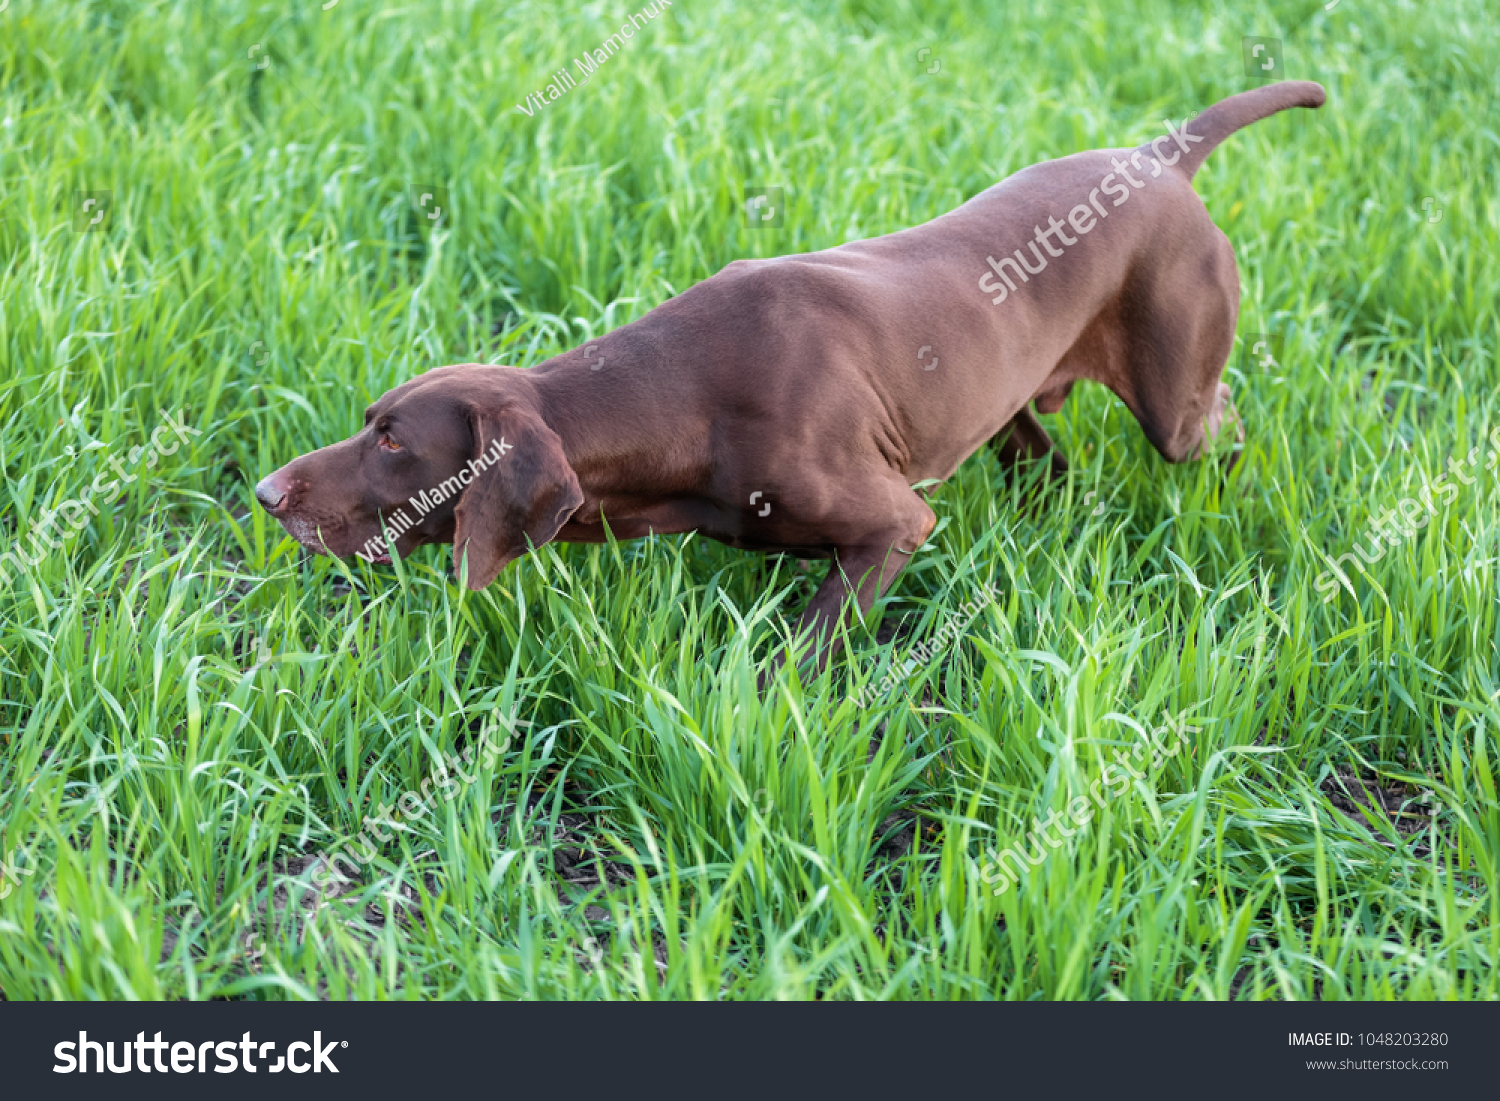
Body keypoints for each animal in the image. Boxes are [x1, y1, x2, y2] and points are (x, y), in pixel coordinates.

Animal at [255, 81, 1326, 669]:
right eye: (371, 419)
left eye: (394, 441)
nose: (266, 493)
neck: (676, 403)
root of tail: (1162, 156)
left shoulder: (893, 524)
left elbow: (804, 650)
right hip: (1012, 390)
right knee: (1041, 454)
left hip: (1175, 400)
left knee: (1217, 422)